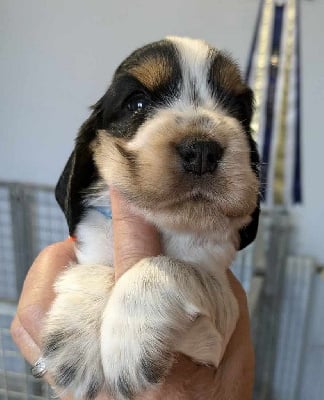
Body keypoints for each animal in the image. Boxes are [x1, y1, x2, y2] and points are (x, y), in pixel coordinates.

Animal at [43, 37, 260, 400]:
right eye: (137, 102)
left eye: (240, 111)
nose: (202, 151)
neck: (169, 225)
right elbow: (94, 269)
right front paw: (74, 346)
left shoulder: (223, 314)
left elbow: (165, 266)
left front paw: (129, 342)